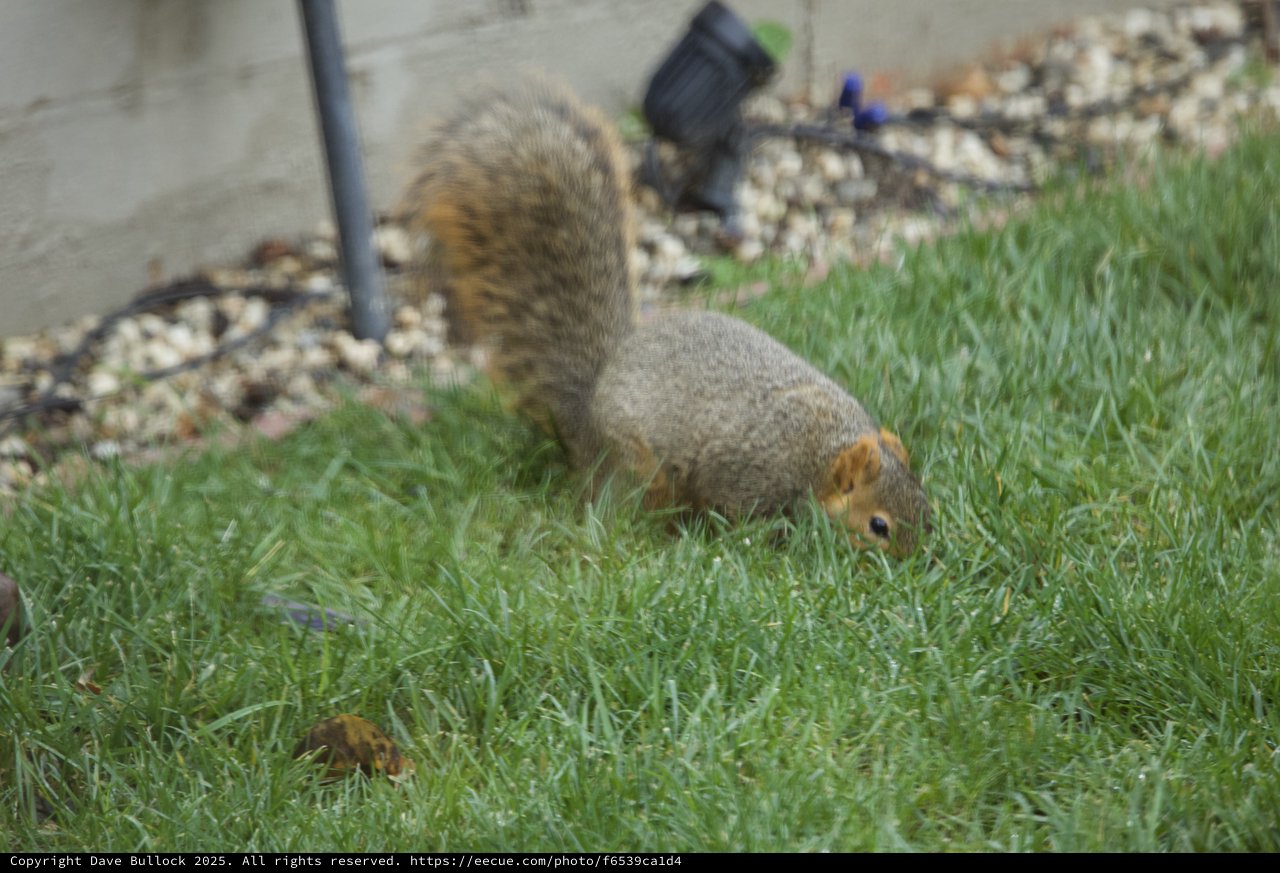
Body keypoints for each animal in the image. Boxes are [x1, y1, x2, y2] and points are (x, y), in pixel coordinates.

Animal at [403, 79, 931, 556]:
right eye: (878, 526)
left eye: (927, 505)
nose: (918, 562)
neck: (820, 454)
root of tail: (588, 418)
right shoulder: (748, 473)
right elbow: (740, 513)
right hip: (641, 466)